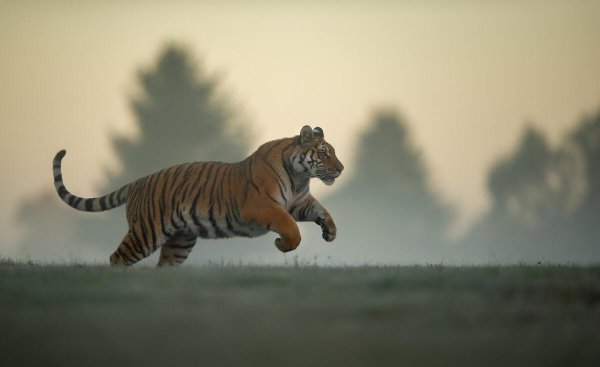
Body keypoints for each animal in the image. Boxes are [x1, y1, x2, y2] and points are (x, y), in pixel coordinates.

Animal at [54, 126, 344, 268]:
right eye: (324, 152)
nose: (341, 169)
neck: (299, 177)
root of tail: (138, 181)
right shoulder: (261, 205)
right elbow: (291, 228)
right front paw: (282, 245)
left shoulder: (299, 202)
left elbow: (322, 211)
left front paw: (330, 231)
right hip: (145, 233)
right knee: (117, 258)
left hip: (180, 241)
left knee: (164, 265)